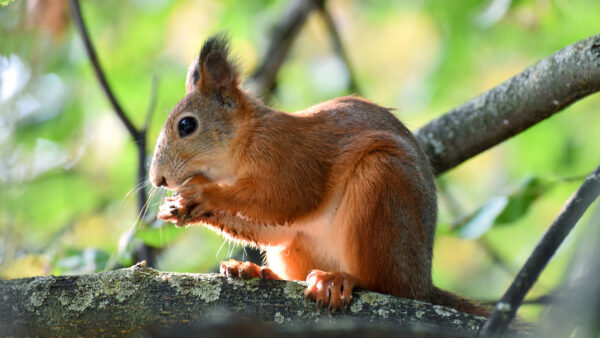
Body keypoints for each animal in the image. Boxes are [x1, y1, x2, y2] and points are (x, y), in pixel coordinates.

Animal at [149, 33, 488, 316]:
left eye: (187, 125)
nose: (157, 179)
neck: (244, 141)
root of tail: (422, 284)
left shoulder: (290, 159)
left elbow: (284, 200)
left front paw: (201, 193)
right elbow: (272, 227)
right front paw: (178, 207)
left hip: (382, 186)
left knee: (385, 285)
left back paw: (338, 279)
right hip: (298, 247)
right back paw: (255, 270)